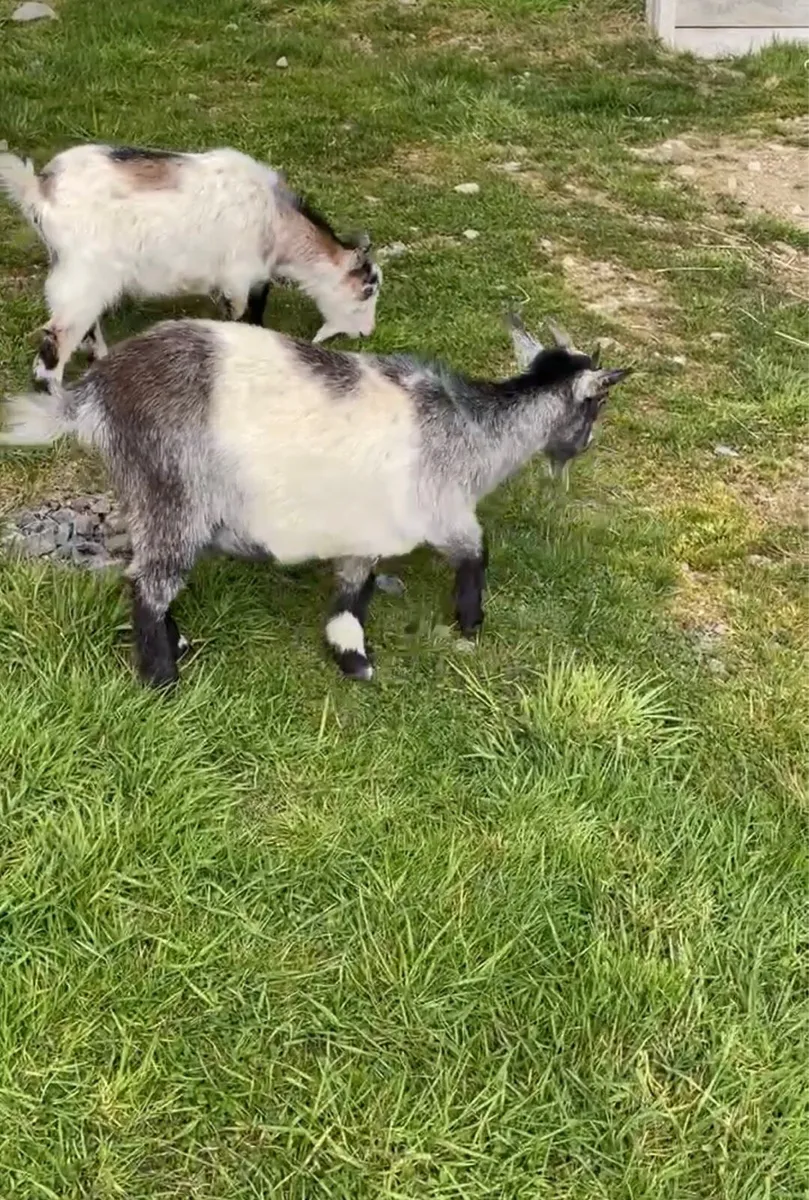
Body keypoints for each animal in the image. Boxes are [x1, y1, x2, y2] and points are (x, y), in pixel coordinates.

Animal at [0, 143, 382, 388]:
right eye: (367, 291)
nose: (368, 333)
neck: (276, 222)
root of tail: (40, 190)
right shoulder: (237, 275)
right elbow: (241, 313)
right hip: (86, 269)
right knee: (57, 336)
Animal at [0, 311, 630, 688]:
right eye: (597, 405)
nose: (581, 448)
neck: (474, 432)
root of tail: (92, 395)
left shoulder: (367, 528)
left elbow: (354, 587)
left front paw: (347, 651)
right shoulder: (442, 510)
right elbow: (471, 554)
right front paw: (465, 623)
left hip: (144, 493)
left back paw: (176, 642)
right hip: (173, 491)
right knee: (149, 582)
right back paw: (162, 679)